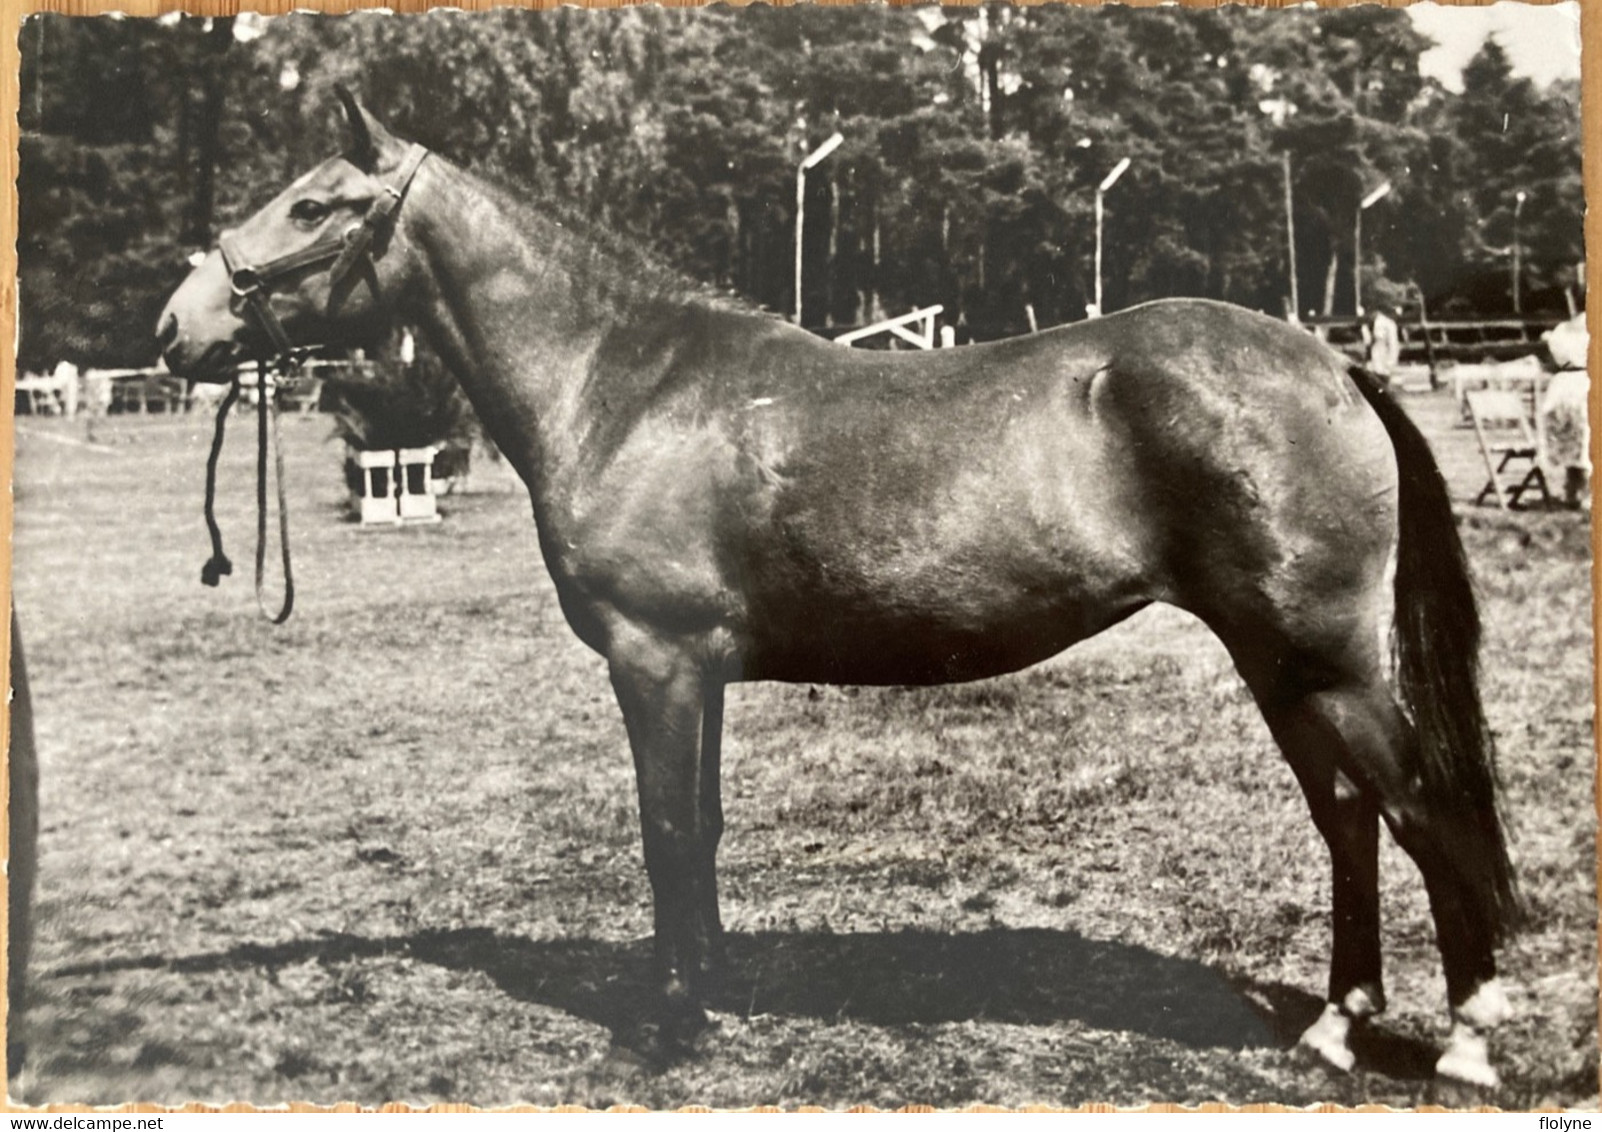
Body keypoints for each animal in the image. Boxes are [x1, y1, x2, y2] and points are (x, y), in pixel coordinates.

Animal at [156, 95, 1518, 1088]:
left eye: (313, 204)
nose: (177, 326)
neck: (625, 383)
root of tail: (1332, 364)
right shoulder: (697, 667)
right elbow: (701, 827)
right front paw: (711, 993)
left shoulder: (654, 659)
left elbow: (663, 830)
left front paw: (670, 1024)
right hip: (1281, 662)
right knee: (1349, 817)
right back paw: (1336, 1027)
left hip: (1326, 658)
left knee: (1423, 809)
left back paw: (1466, 1041)